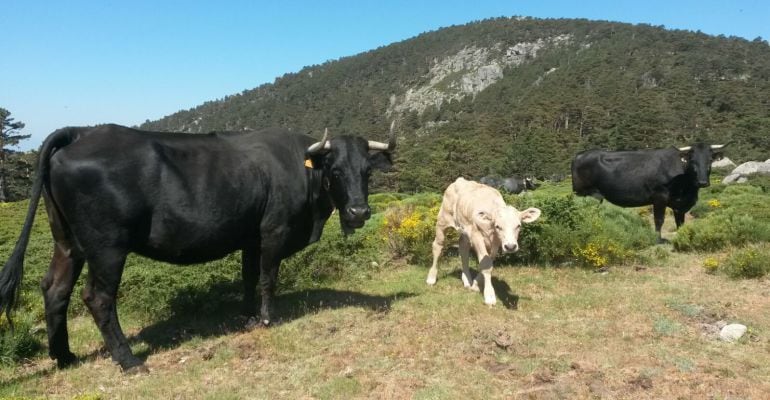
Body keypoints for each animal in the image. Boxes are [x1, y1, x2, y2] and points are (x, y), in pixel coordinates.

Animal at [0, 122, 392, 372]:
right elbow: (268, 278)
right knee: (97, 298)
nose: (359, 212)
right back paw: (129, 361)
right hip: (107, 246)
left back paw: (64, 357)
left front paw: (247, 316)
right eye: (335, 170)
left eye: (367, 171)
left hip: (67, 241)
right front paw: (267, 318)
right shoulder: (273, 230)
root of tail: (82, 131)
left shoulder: (249, 235)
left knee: (55, 289)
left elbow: (249, 278)